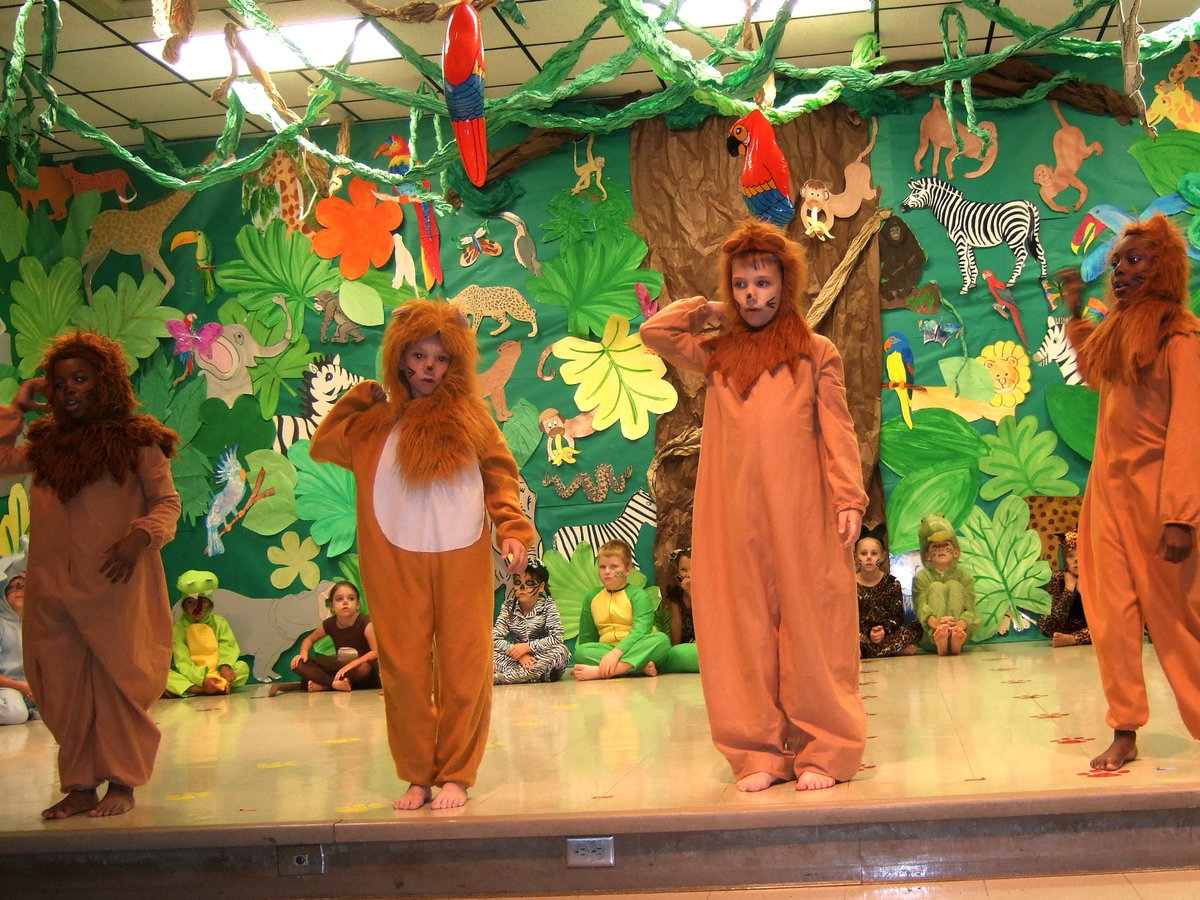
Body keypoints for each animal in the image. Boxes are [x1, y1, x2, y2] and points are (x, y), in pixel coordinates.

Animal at [902, 180, 1041, 296]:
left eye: (916, 195)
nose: (901, 206)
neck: (952, 212)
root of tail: (1025, 203)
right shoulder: (968, 242)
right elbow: (971, 263)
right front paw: (972, 283)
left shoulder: (960, 240)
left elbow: (963, 263)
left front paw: (964, 287)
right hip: (1031, 234)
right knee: (1040, 252)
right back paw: (1042, 276)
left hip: (1014, 236)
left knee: (1022, 254)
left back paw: (1012, 280)